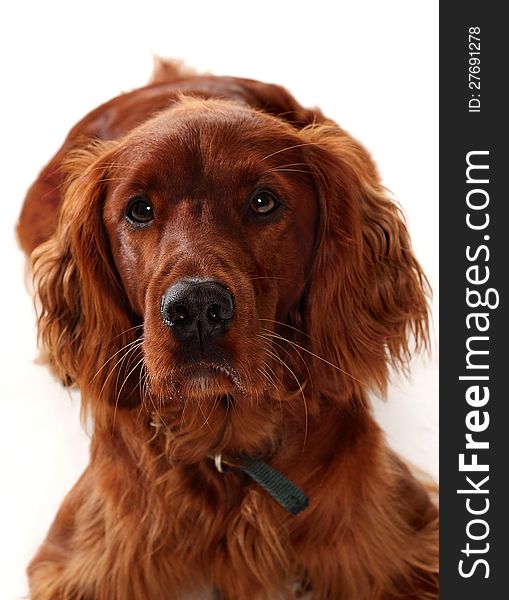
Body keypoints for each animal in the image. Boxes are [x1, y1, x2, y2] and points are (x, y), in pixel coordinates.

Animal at [18, 57, 436, 600]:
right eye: (139, 209)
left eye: (263, 202)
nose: (196, 309)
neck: (226, 445)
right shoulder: (84, 564)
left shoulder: (399, 549)